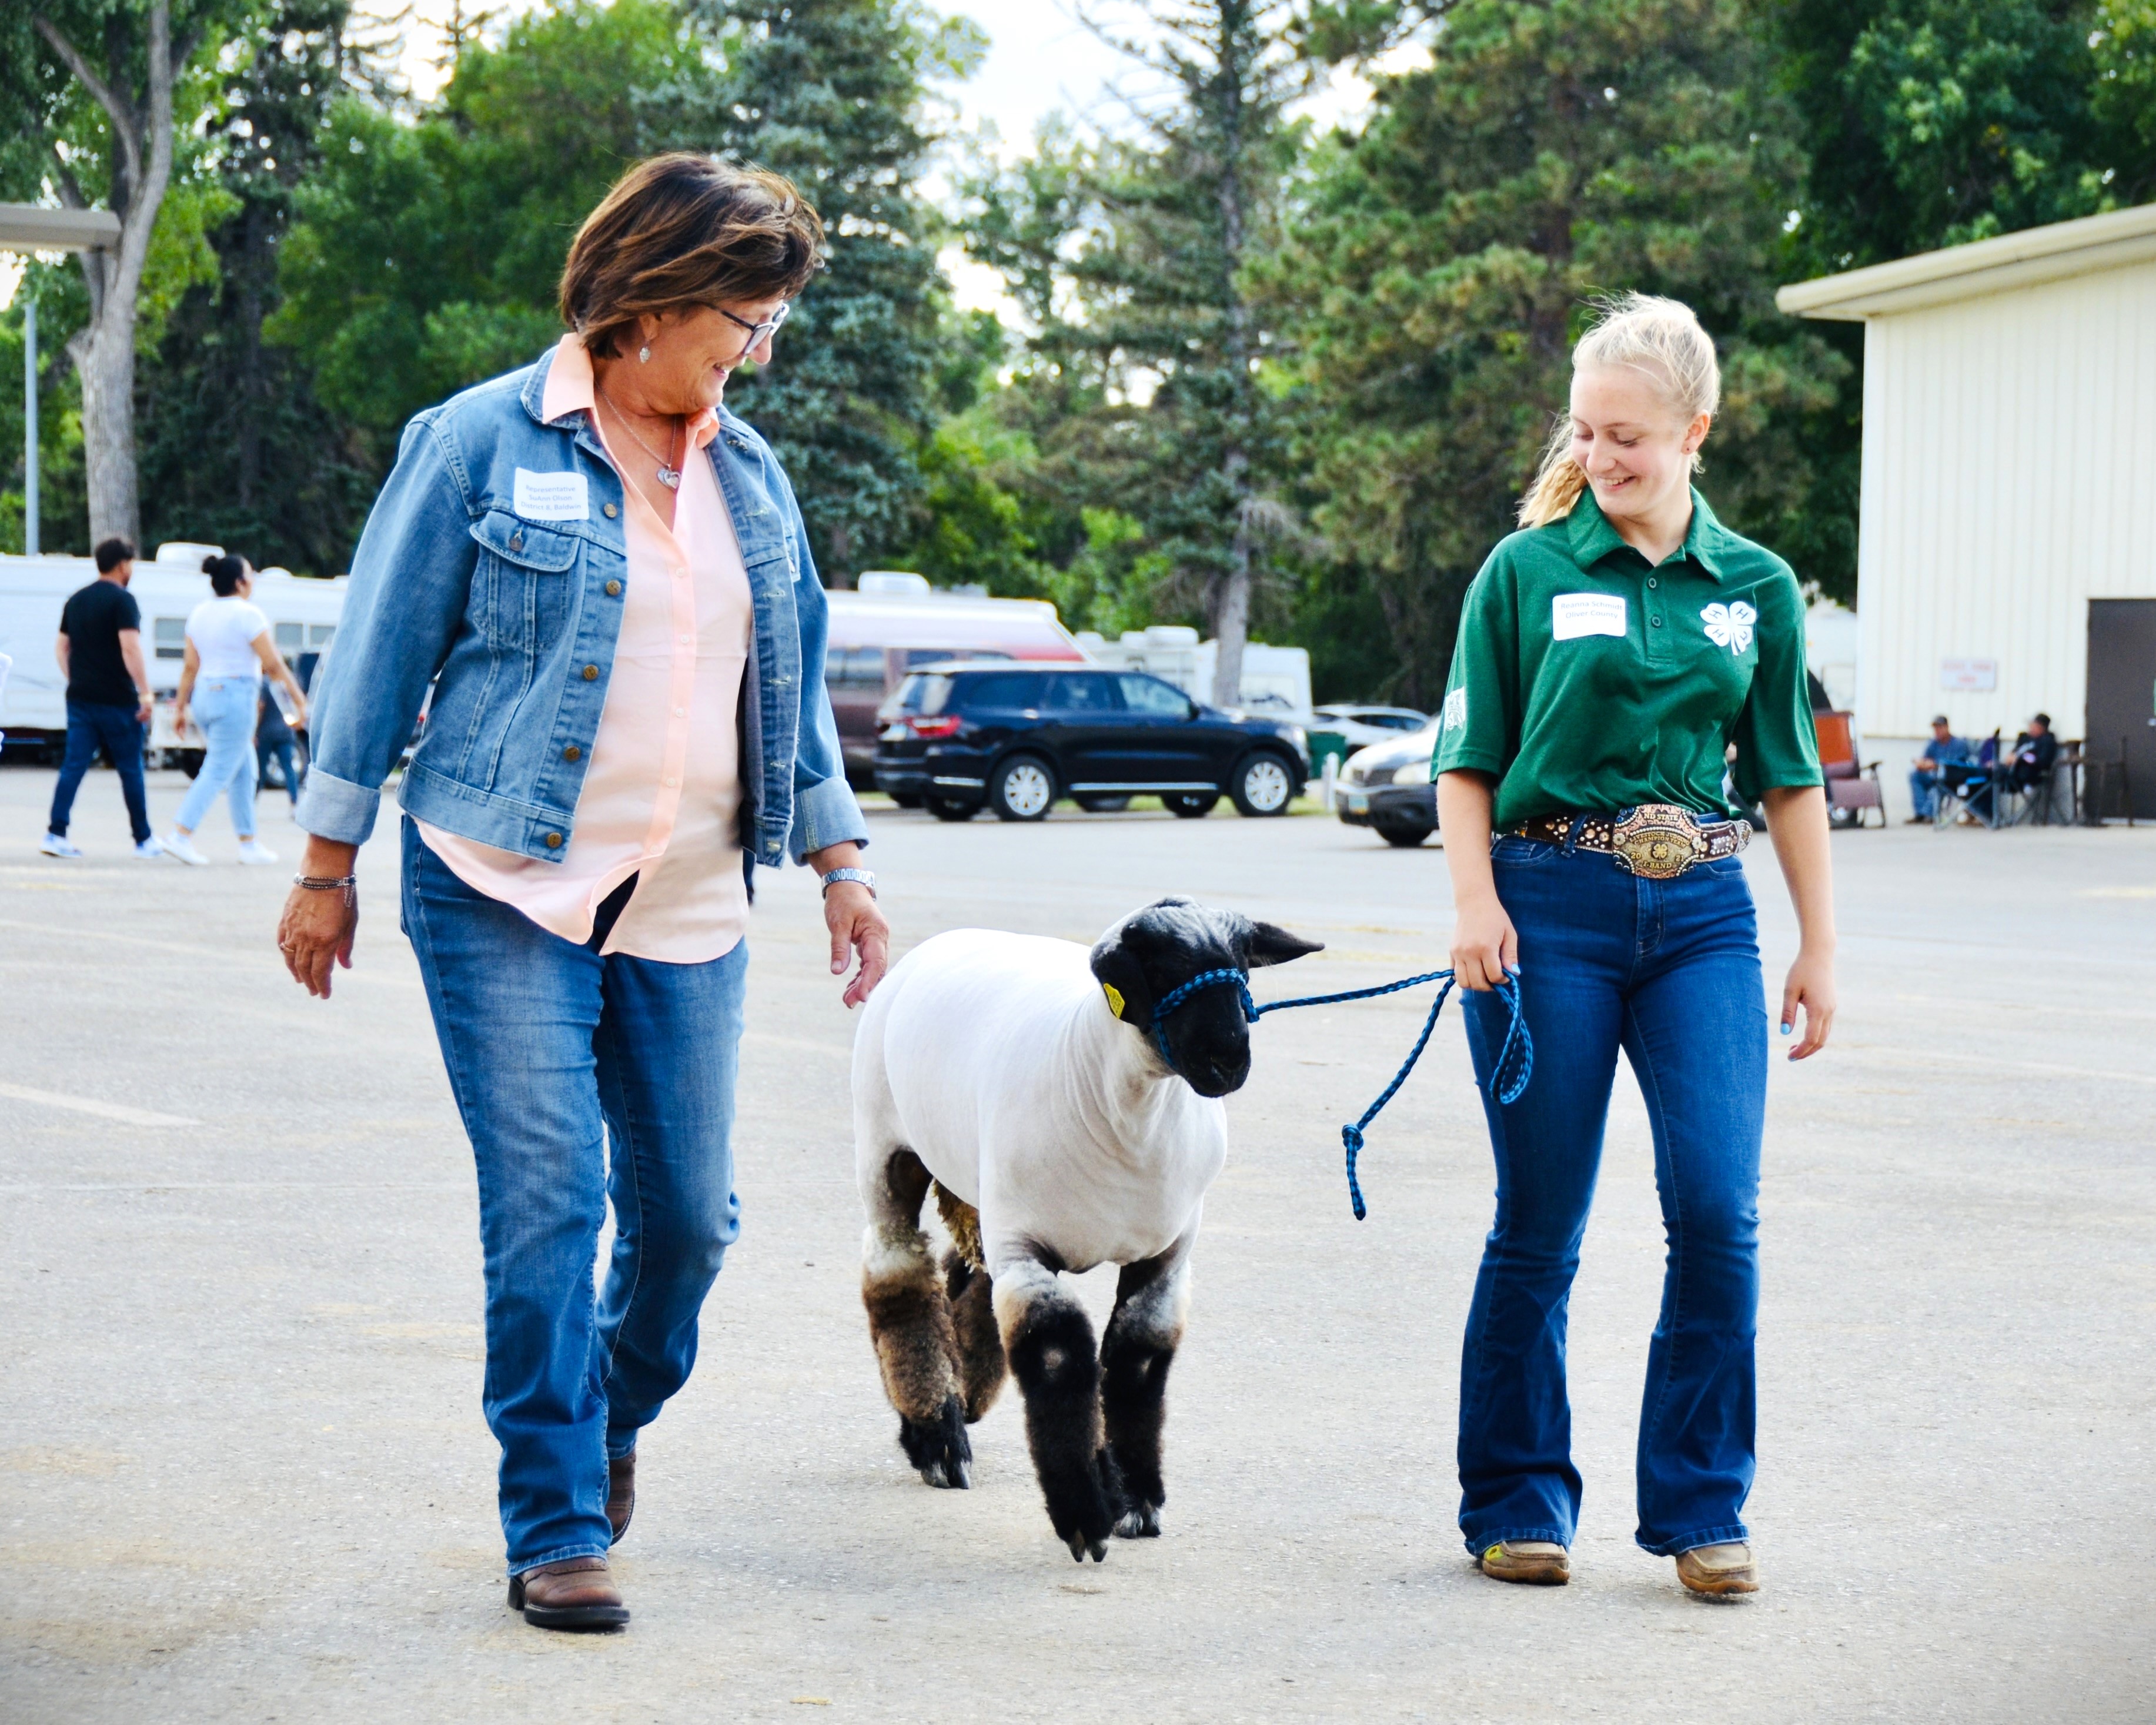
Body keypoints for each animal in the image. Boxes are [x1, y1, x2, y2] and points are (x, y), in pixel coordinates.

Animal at [849, 901, 1319, 1561]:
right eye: (1156, 968)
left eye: (1241, 968)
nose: (1229, 1059)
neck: (1127, 1117)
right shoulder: (1026, 1253)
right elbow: (1059, 1358)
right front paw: (1085, 1517)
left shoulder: (1166, 1256)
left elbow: (1134, 1363)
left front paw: (1135, 1498)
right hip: (886, 1153)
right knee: (898, 1279)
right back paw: (937, 1439)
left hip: (981, 1193)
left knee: (964, 1277)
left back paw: (964, 1401)